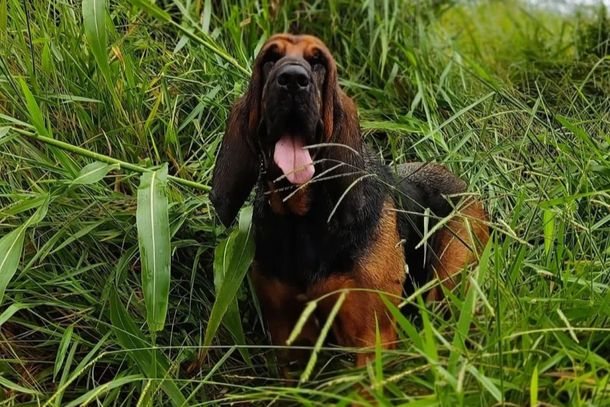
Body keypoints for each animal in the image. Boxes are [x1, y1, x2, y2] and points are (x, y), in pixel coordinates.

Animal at [211, 33, 486, 368]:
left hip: (449, 279)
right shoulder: (289, 338)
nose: (293, 80)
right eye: (269, 59)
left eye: (318, 61)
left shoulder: (371, 337)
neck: (302, 220)